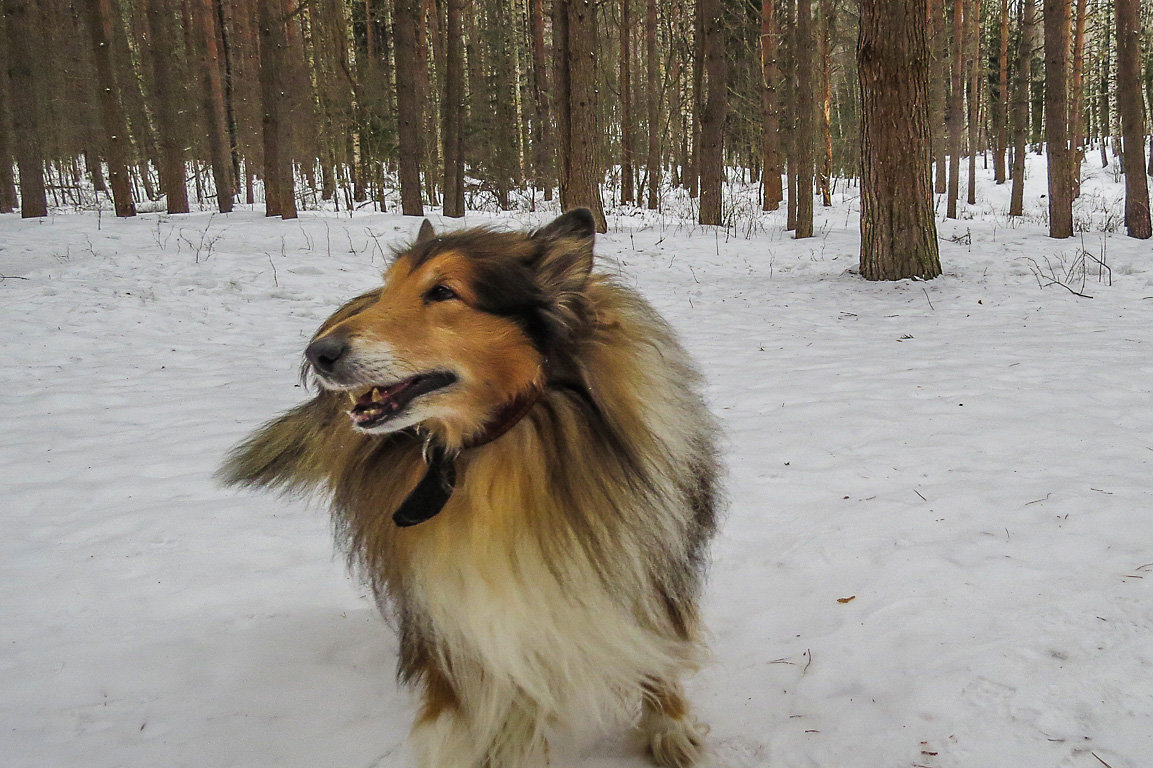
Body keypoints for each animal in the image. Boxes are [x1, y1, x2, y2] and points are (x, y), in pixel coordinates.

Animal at [219, 206, 714, 761]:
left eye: (443, 293)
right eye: (389, 289)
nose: (317, 353)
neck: (495, 448)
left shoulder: (644, 568)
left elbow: (659, 651)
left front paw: (669, 728)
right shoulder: (456, 615)